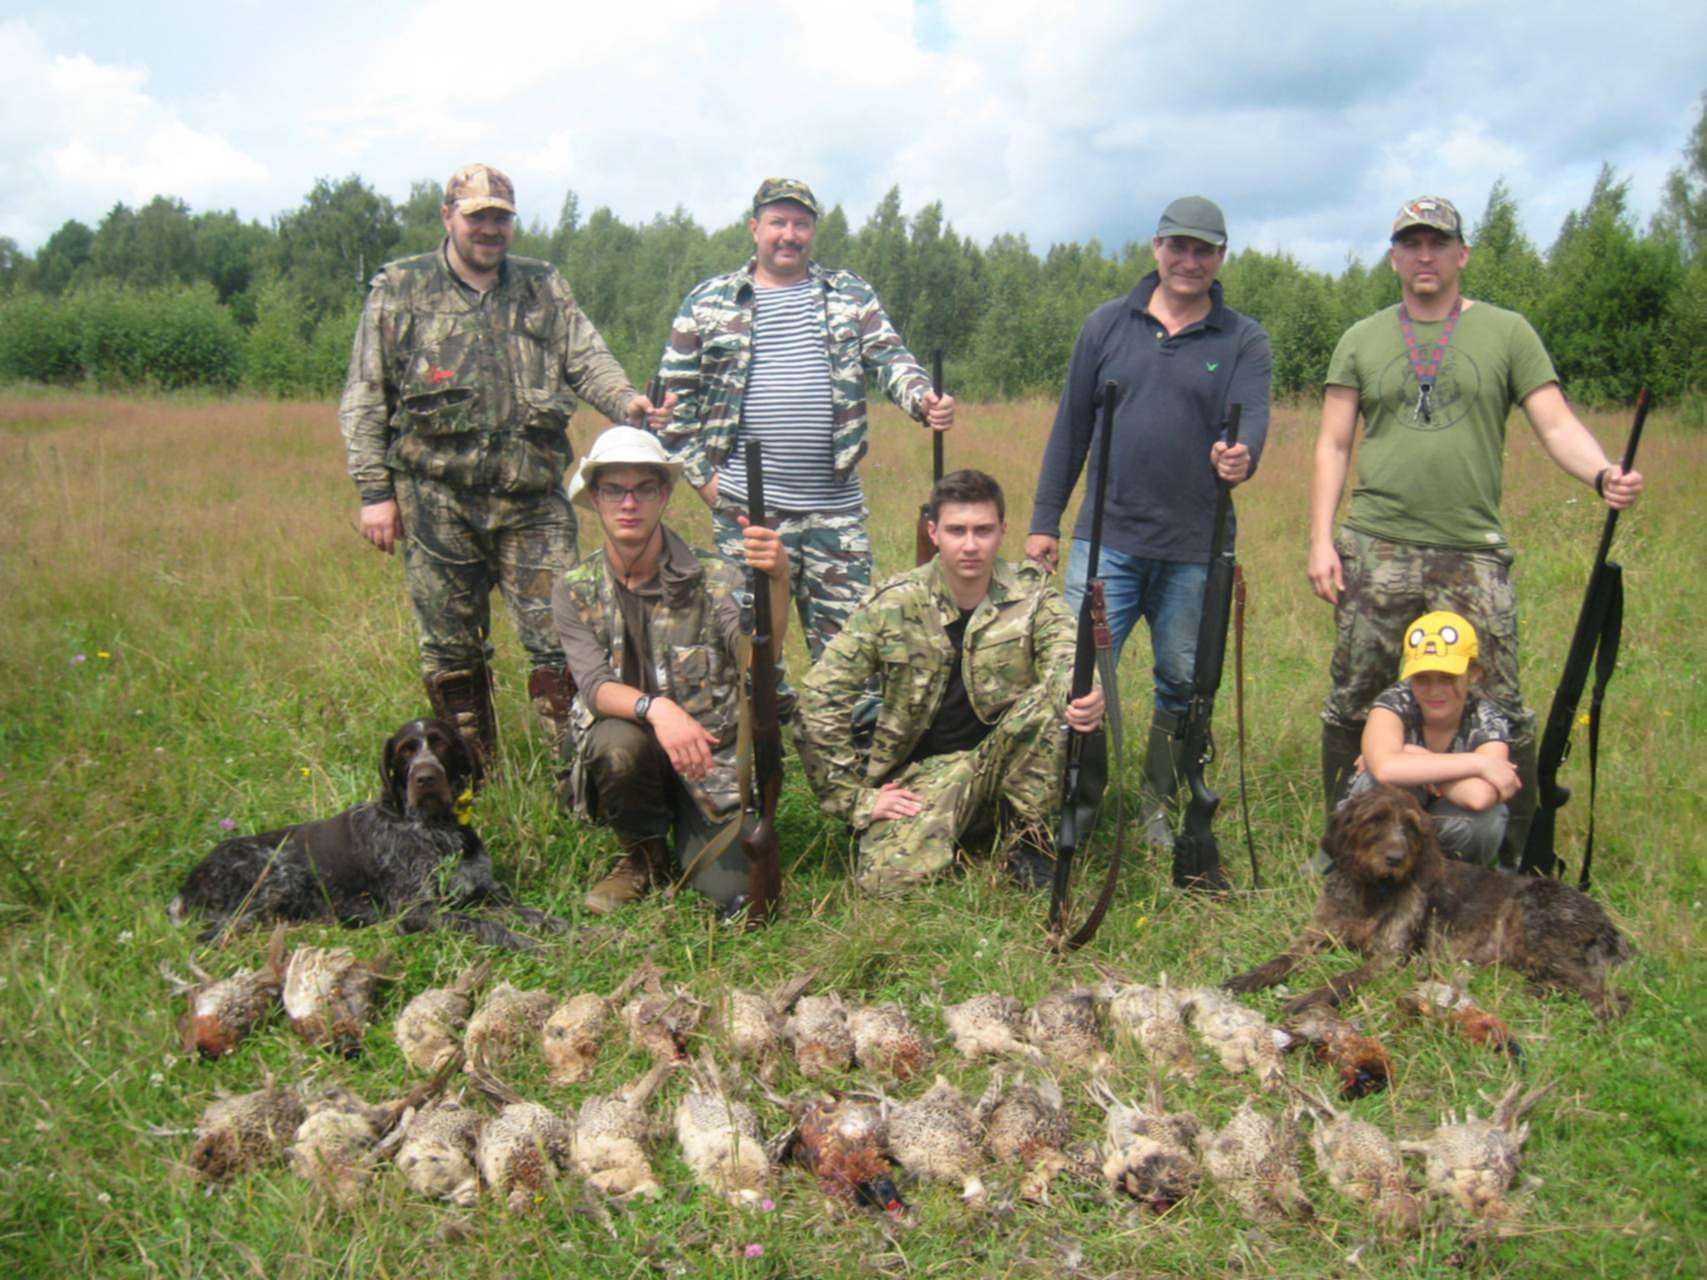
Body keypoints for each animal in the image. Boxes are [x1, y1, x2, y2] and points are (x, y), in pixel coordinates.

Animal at [1222, 781, 1631, 1024]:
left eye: (1412, 827)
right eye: (1375, 820)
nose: (1395, 858)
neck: (1370, 892)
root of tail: (1602, 917)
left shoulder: (1390, 958)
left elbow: (1342, 979)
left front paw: (1307, 999)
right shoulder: (1316, 936)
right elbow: (1280, 960)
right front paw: (1246, 979)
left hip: (1535, 934)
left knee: (1609, 992)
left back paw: (1600, 1013)